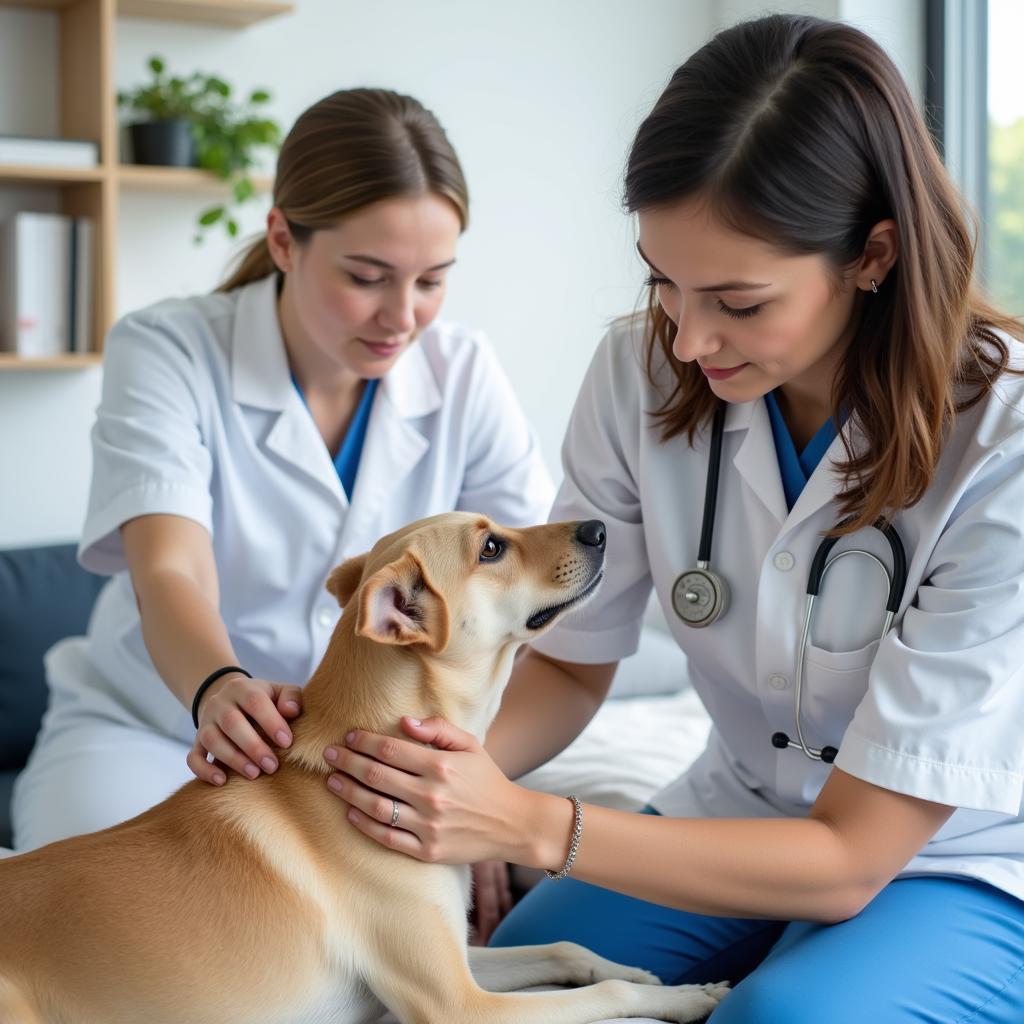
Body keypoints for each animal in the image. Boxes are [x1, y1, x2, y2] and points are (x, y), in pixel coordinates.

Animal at [0, 516, 729, 1019]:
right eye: (491, 549)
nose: (602, 528)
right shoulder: (459, 1004)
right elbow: (606, 996)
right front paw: (688, 998)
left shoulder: (462, 959)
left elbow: (567, 952)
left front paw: (655, 978)